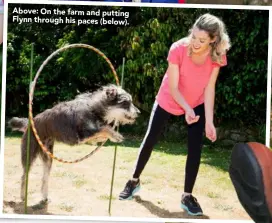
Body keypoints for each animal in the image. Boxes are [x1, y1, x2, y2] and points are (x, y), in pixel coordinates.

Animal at [8, 83, 140, 202]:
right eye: (126, 102)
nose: (139, 112)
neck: (94, 108)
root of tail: (29, 124)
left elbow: (101, 132)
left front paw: (106, 137)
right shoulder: (83, 135)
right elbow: (104, 128)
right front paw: (115, 135)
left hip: (48, 158)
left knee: (44, 178)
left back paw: (44, 197)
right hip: (29, 155)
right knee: (24, 176)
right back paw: (22, 196)